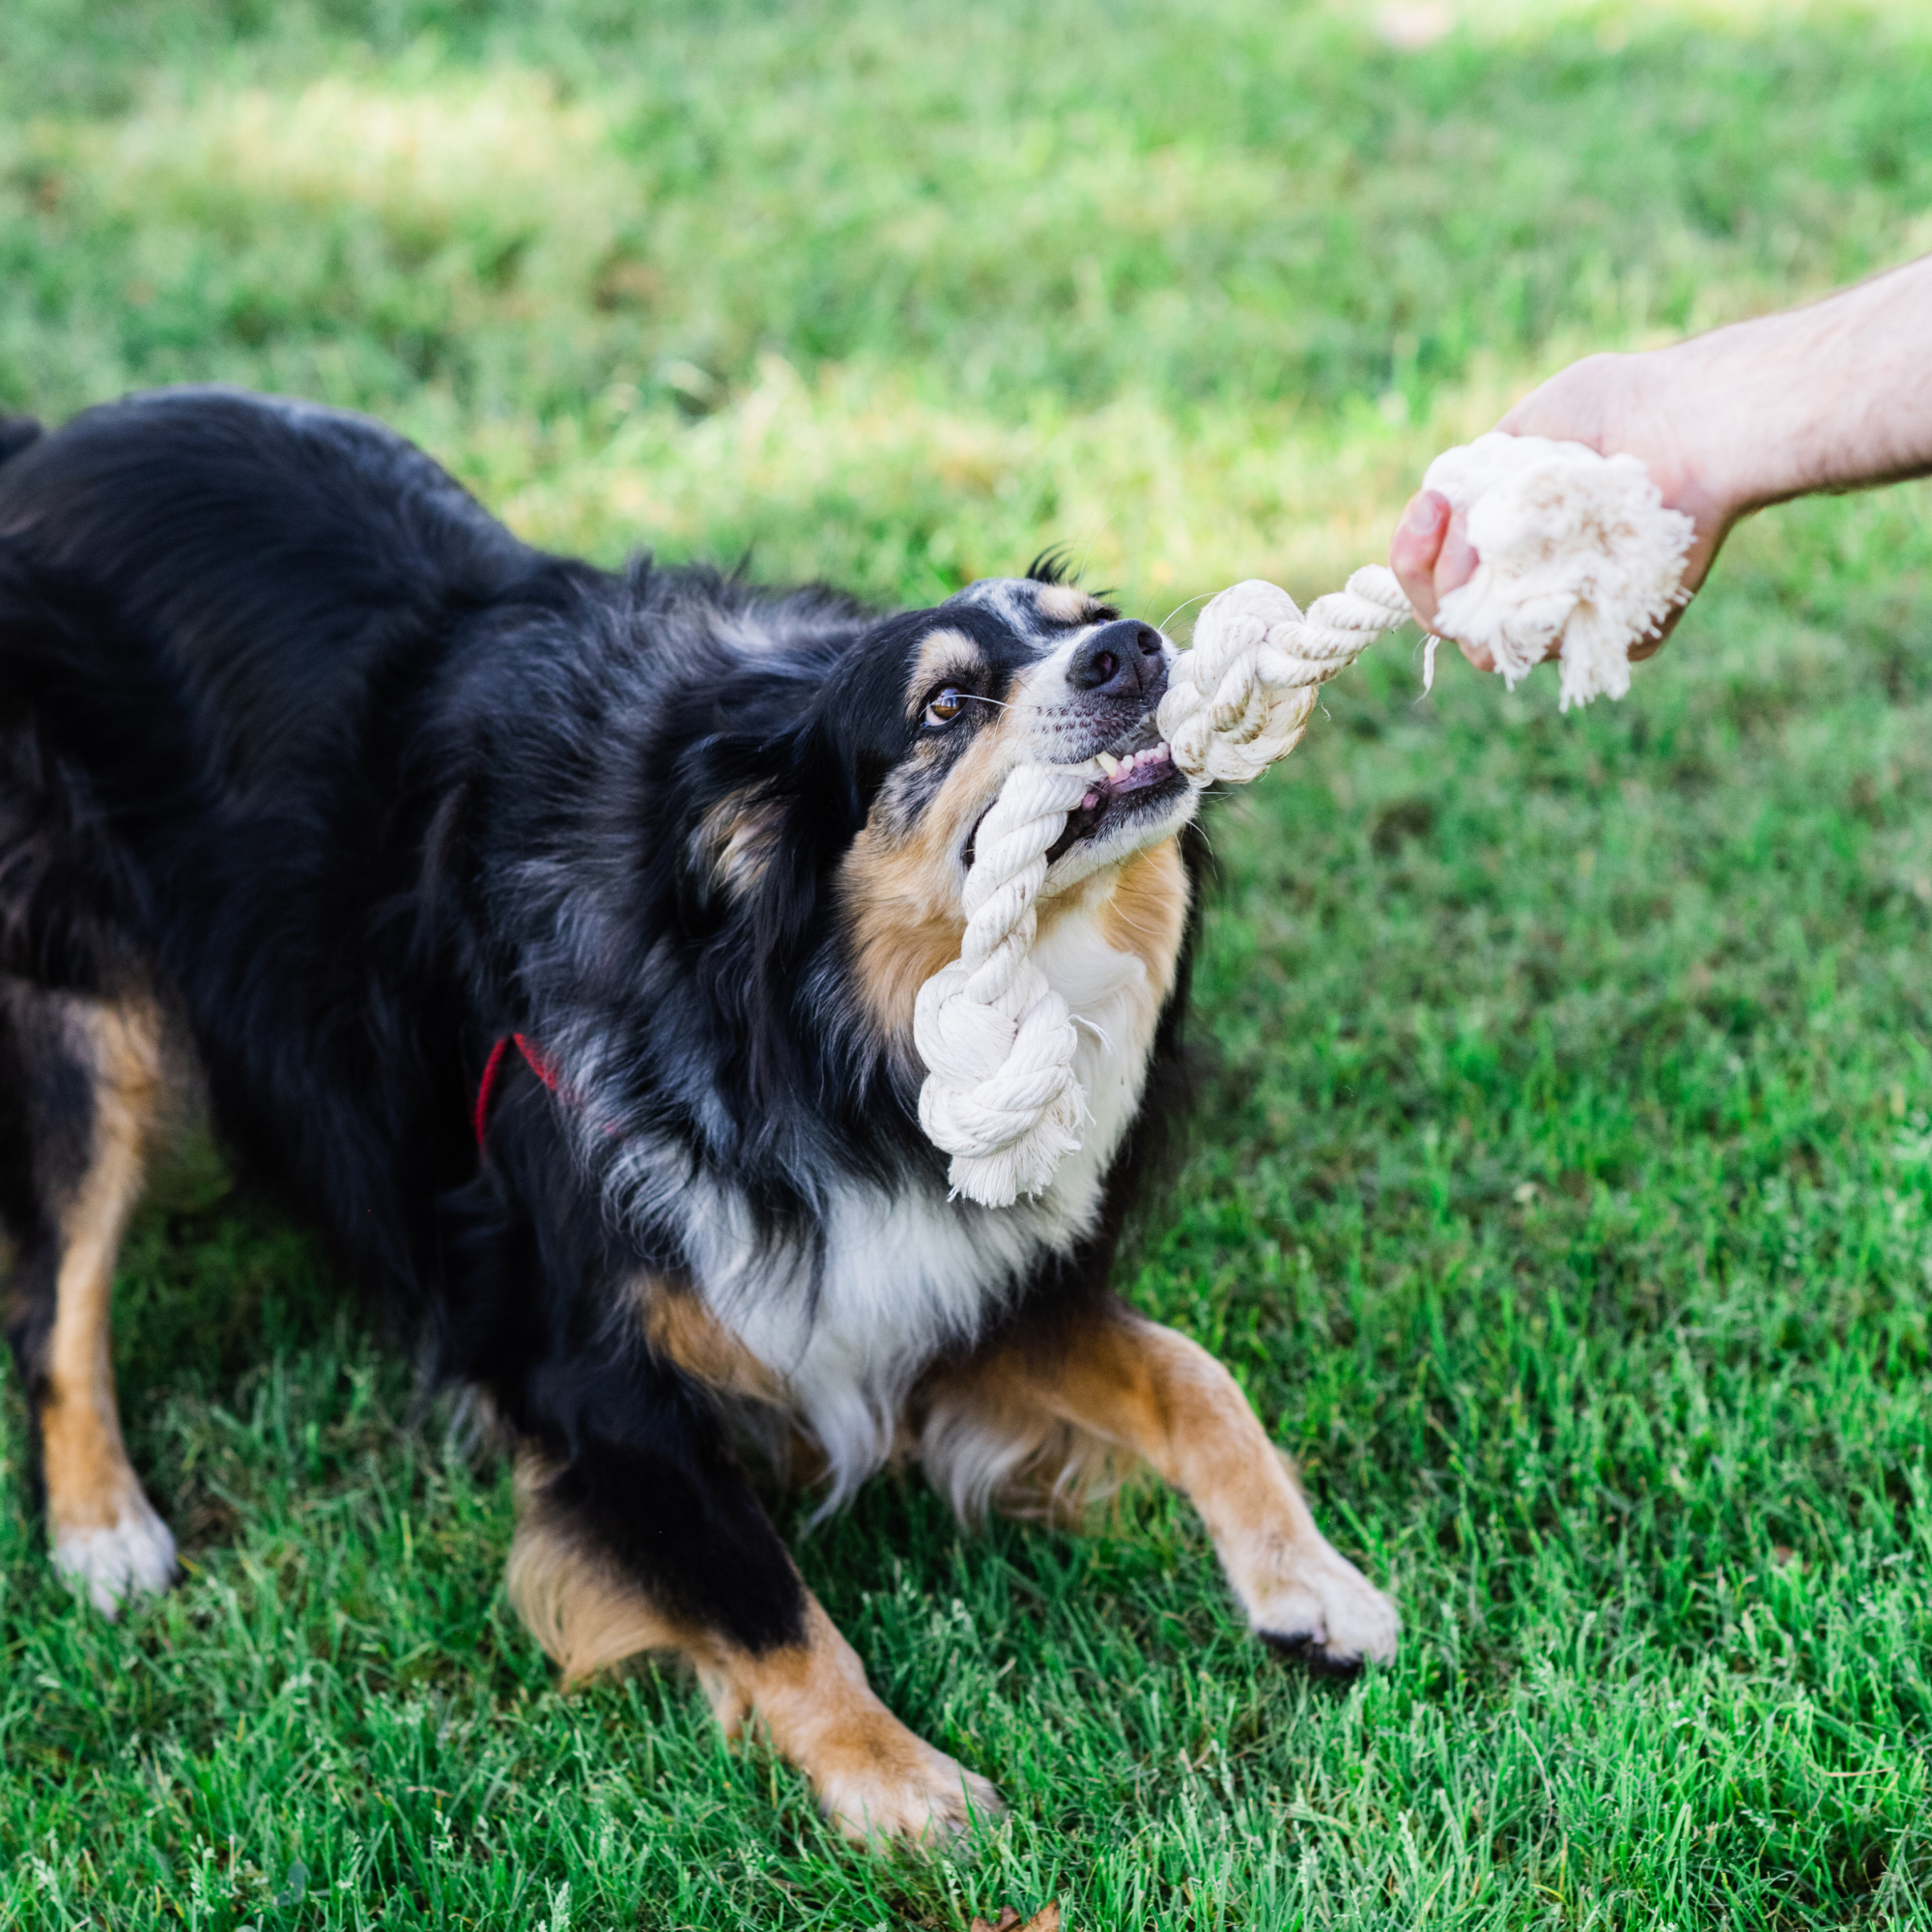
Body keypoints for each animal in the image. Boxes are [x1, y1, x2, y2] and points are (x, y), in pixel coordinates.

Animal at [0, 381, 1391, 1839]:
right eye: (945, 704)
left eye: (1085, 622)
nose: (1131, 651)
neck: (807, 1023)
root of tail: (41, 445)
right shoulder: (590, 1369)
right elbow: (762, 1594)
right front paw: (906, 1789)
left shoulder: (928, 1265)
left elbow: (1192, 1374)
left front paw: (1313, 1586)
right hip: (82, 1003)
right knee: (58, 1289)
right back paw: (102, 1529)